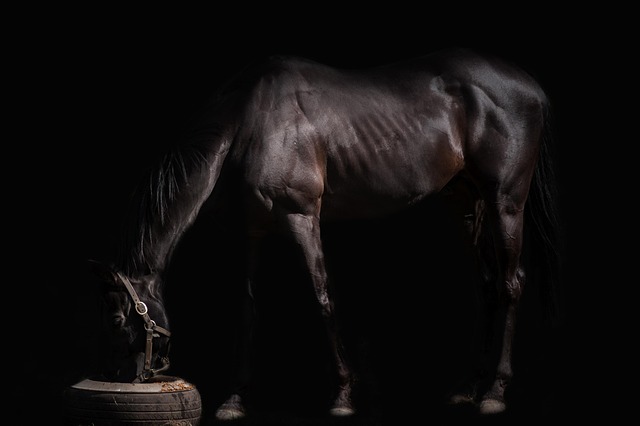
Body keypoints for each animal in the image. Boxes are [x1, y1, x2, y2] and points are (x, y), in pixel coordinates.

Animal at [90, 47, 562, 420]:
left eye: (117, 318)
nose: (117, 380)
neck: (251, 122)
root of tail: (533, 88)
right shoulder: (252, 229)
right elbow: (248, 307)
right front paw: (235, 399)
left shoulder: (302, 217)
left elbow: (322, 297)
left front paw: (343, 395)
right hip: (465, 203)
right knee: (487, 284)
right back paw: (468, 387)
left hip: (505, 202)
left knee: (511, 283)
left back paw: (495, 390)